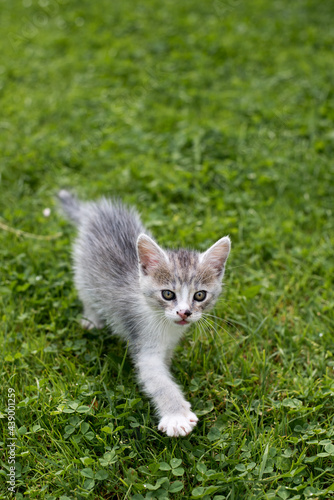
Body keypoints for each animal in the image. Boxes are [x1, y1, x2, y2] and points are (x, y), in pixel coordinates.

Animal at [58, 191, 230, 438]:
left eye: (199, 295)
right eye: (168, 294)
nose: (184, 313)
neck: (164, 323)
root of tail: (93, 210)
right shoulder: (144, 343)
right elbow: (157, 380)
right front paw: (176, 416)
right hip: (83, 271)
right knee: (86, 294)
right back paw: (92, 320)